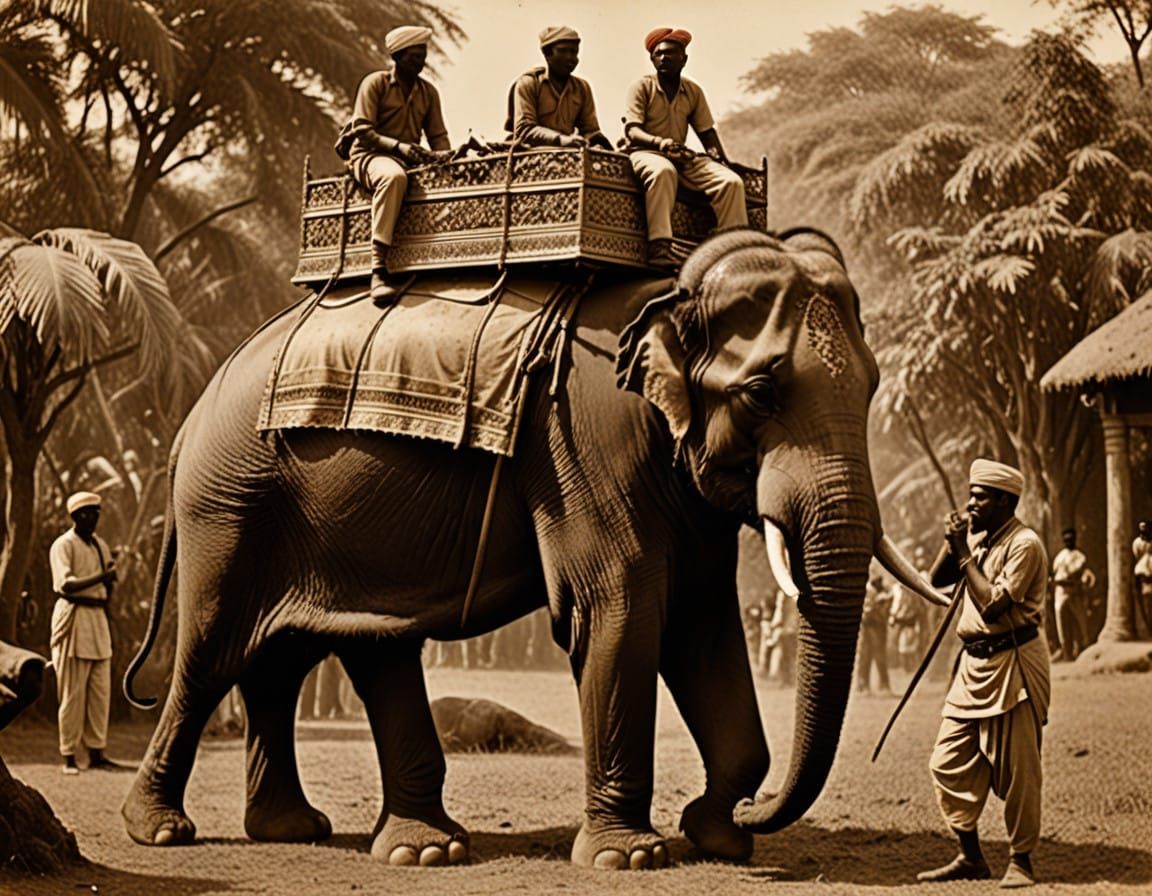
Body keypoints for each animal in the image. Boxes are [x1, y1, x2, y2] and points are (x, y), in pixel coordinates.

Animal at [121, 227, 944, 869]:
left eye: (873, 386)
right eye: (763, 393)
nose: (755, 809)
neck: (670, 287)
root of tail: (189, 420)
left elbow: (702, 623)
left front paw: (718, 838)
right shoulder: (582, 434)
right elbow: (617, 605)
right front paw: (631, 857)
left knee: (318, 650)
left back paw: (360, 839)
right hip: (229, 504)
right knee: (218, 650)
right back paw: (163, 831)